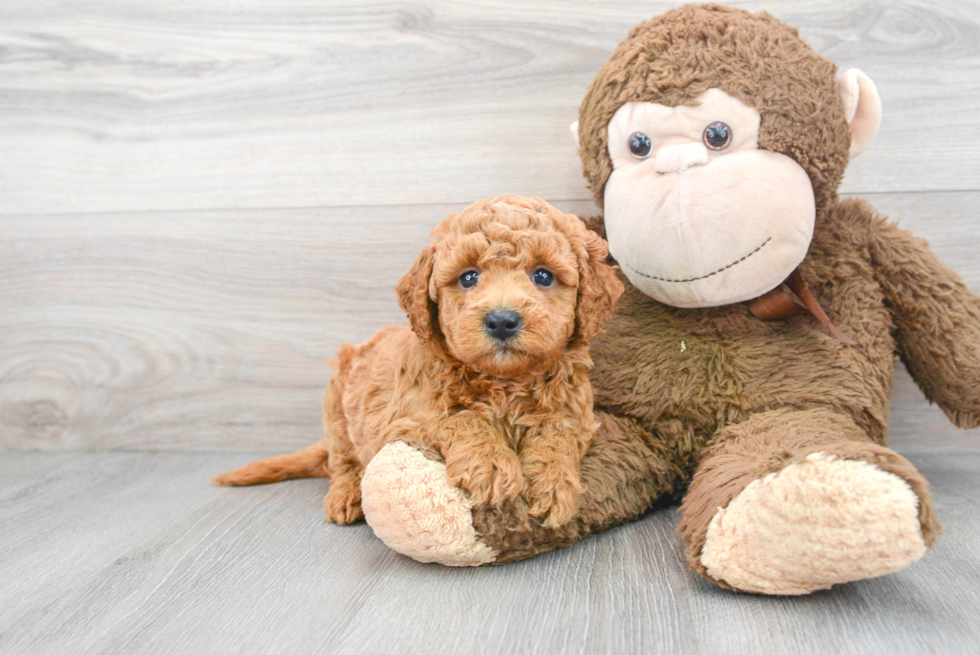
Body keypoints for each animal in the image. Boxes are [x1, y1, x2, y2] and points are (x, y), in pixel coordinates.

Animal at [214, 195, 624, 528]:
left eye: (543, 275)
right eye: (468, 277)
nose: (501, 320)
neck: (503, 381)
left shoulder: (575, 414)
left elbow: (557, 435)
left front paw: (553, 485)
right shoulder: (408, 418)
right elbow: (463, 419)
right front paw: (492, 465)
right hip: (337, 411)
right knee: (341, 462)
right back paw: (345, 497)